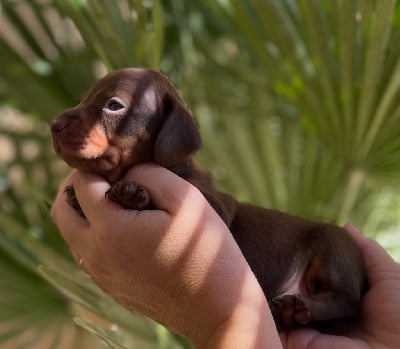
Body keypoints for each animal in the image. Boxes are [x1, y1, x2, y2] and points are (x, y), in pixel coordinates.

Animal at [51, 67, 368, 328]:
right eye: (81, 98)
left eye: (113, 105)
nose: (54, 124)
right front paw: (77, 198)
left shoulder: (213, 207)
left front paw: (131, 194)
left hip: (333, 246)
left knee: (348, 300)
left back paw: (301, 306)